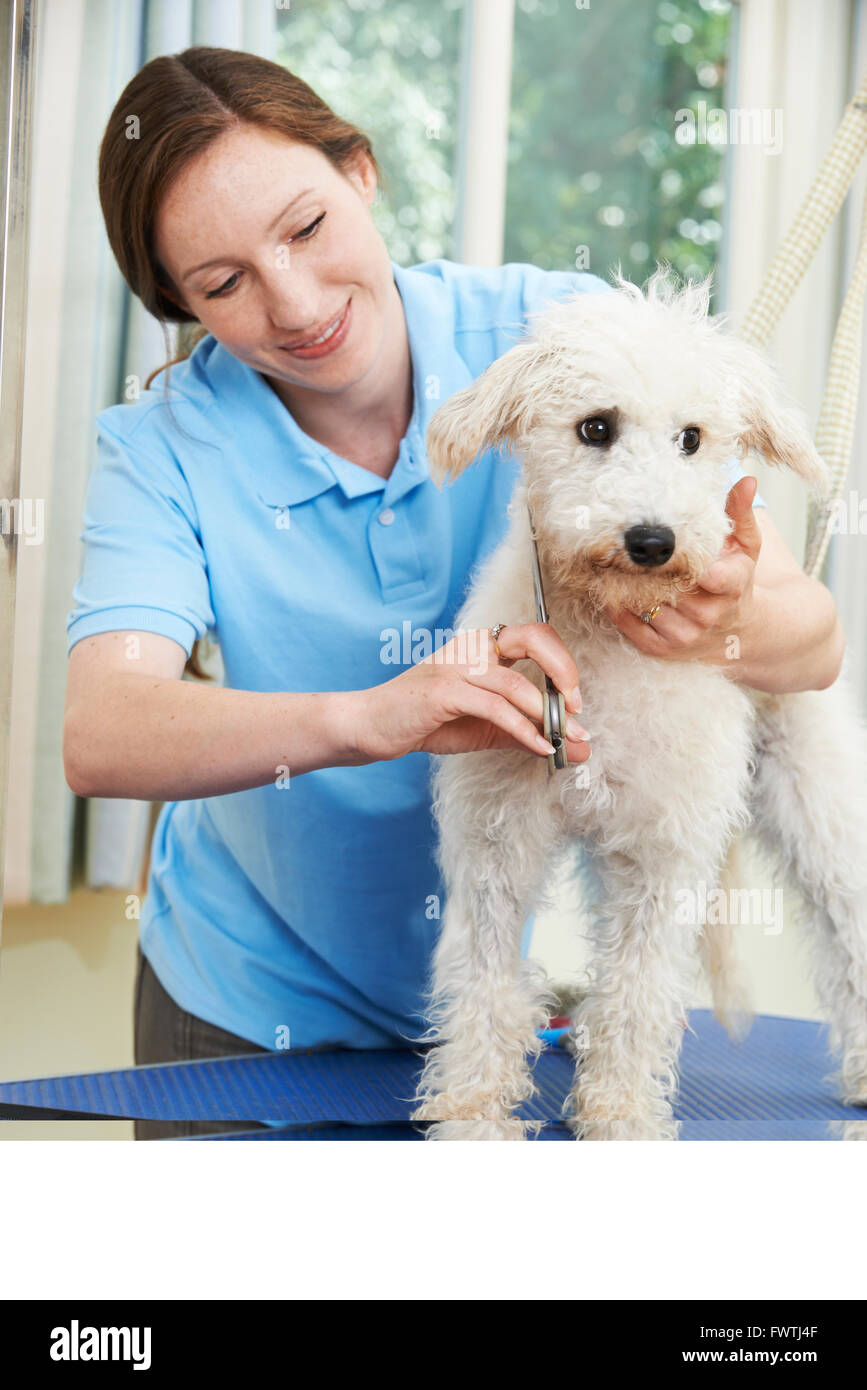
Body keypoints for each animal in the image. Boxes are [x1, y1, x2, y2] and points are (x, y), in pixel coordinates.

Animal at [408, 268, 867, 1139]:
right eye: (595, 427)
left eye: (691, 438)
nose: (652, 540)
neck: (605, 642)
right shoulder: (495, 843)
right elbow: (484, 984)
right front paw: (474, 1112)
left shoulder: (662, 855)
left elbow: (638, 992)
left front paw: (619, 1114)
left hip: (820, 808)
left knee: (849, 930)